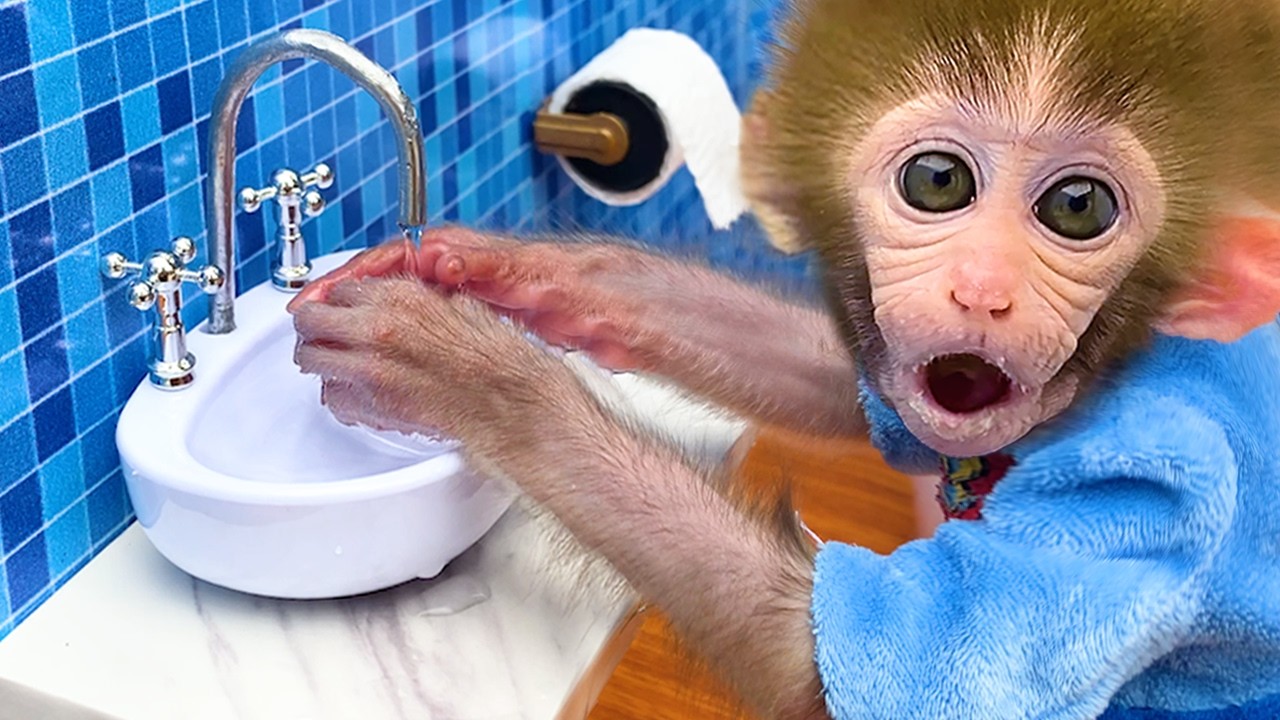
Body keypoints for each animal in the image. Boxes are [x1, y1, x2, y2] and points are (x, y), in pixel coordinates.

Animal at [287, 0, 1280, 717]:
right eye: (939, 182)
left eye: (1079, 207)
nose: (982, 290)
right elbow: (848, 387)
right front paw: (510, 270)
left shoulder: (1158, 483)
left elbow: (823, 663)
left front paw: (455, 364)